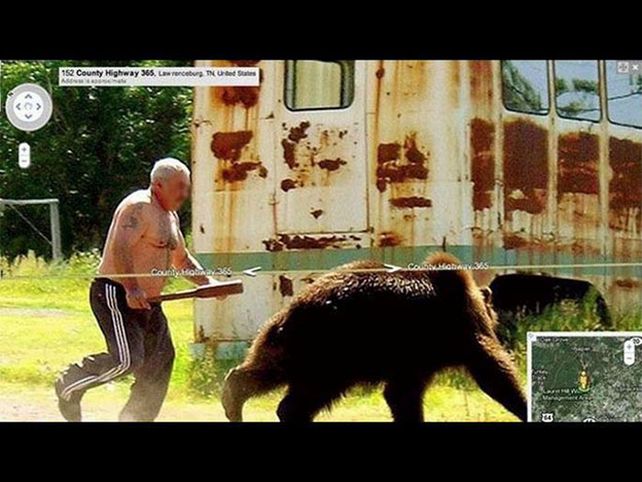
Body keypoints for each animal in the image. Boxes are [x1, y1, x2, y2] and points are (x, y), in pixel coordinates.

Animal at [222, 252, 527, 422]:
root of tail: (296, 306)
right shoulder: (449, 333)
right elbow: (492, 370)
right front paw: (523, 404)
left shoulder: (414, 357)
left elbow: (400, 394)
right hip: (333, 350)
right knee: (306, 393)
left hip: (295, 343)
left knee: (269, 371)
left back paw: (233, 400)